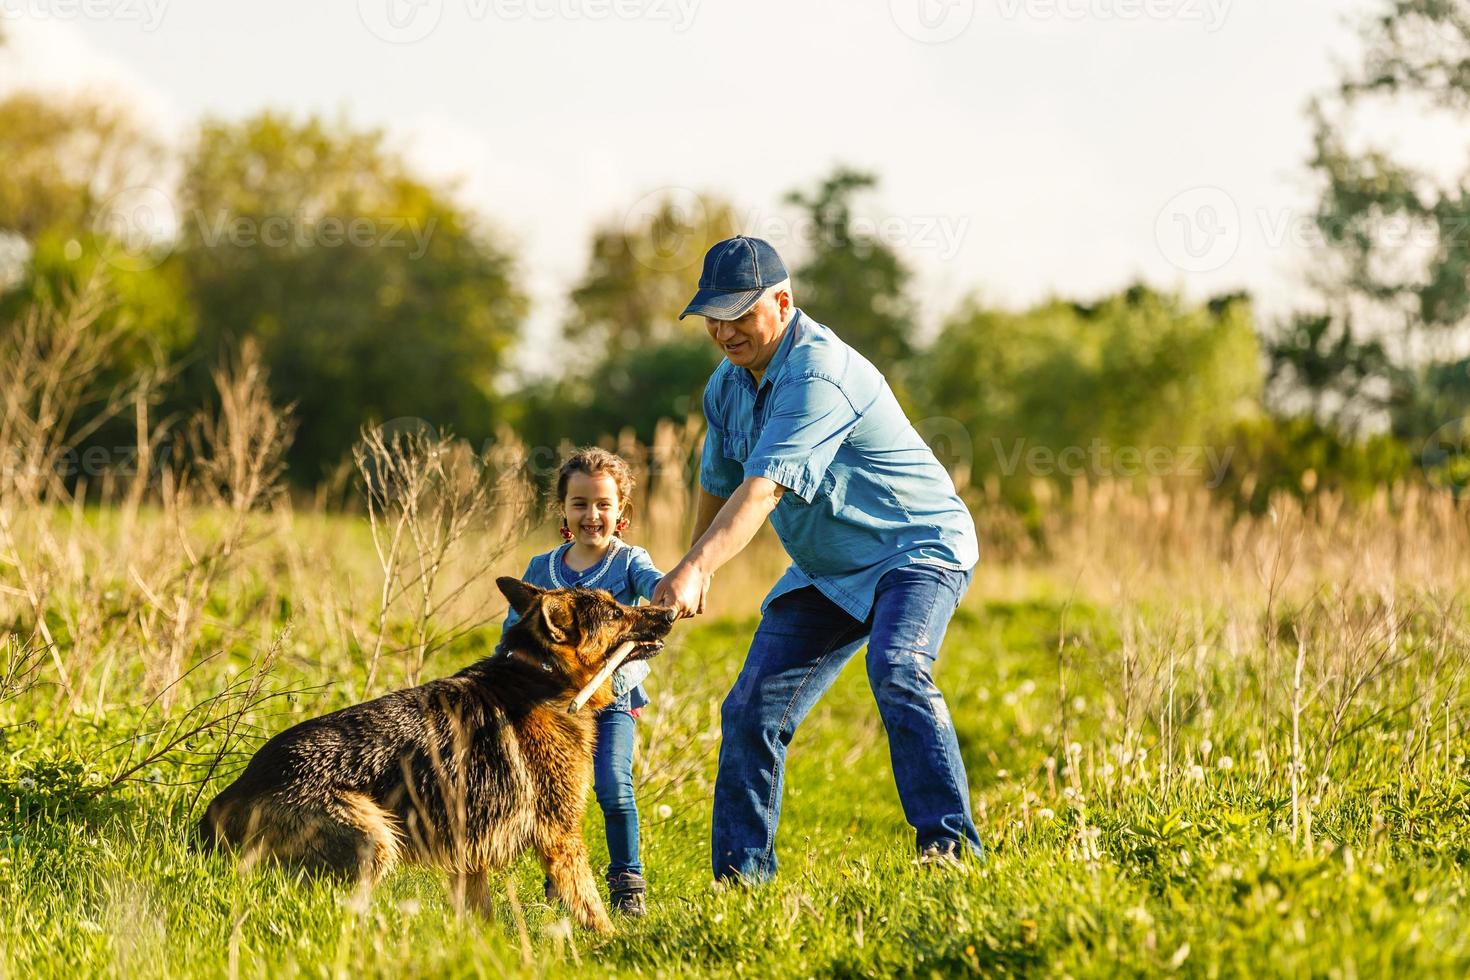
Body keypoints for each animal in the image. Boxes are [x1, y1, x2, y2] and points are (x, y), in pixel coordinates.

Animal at [199, 578, 676, 934]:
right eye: (616, 613)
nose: (670, 613)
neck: (540, 673)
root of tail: (230, 796)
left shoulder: (471, 850)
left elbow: (480, 912)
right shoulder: (562, 837)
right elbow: (589, 903)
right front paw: (613, 943)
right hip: (376, 837)